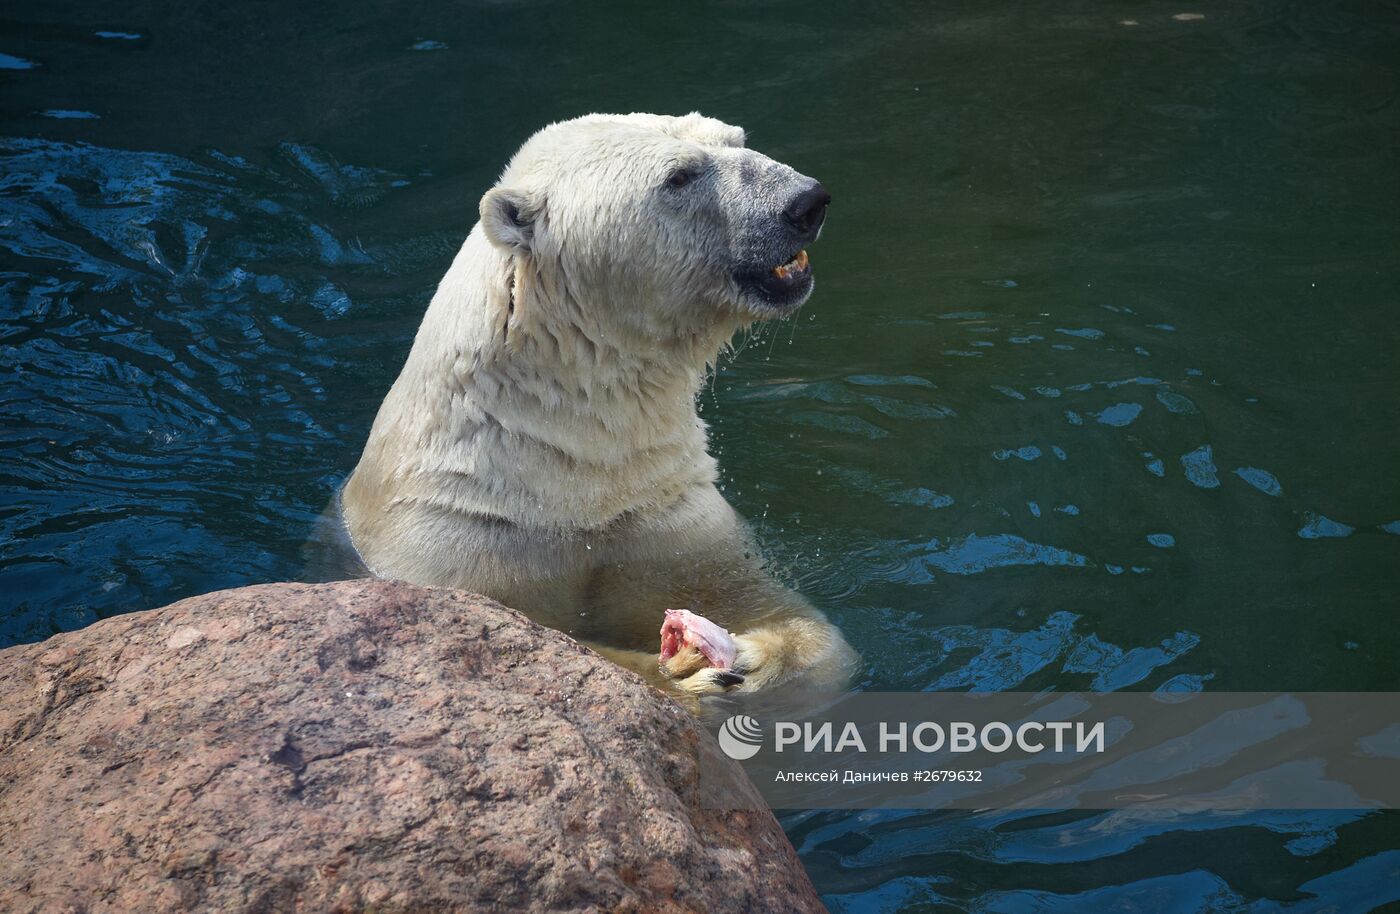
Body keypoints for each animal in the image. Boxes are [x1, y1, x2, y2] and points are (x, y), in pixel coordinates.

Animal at [341, 111, 851, 699]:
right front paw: (683, 671)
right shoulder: (450, 545)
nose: (806, 201)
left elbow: (799, 631)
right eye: (679, 177)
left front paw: (746, 656)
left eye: (735, 139)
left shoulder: (661, 513)